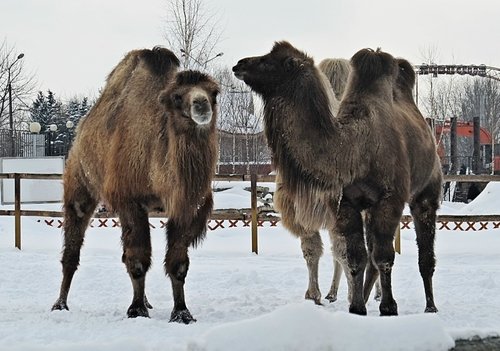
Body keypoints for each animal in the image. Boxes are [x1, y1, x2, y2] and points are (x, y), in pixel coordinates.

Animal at [50, 46, 219, 324]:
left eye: (214, 92)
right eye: (177, 96)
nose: (201, 103)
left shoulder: (186, 206)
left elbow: (178, 264)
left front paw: (182, 313)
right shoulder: (130, 201)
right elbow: (138, 260)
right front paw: (136, 310)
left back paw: (148, 301)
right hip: (79, 181)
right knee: (72, 247)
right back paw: (60, 304)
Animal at [232, 41, 444, 316]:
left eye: (271, 61)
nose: (240, 64)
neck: (356, 149)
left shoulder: (389, 200)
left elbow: (384, 257)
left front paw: (389, 307)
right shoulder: (345, 204)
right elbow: (356, 257)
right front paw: (356, 308)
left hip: (426, 192)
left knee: (423, 251)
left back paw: (430, 306)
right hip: (369, 208)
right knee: (369, 255)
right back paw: (365, 297)